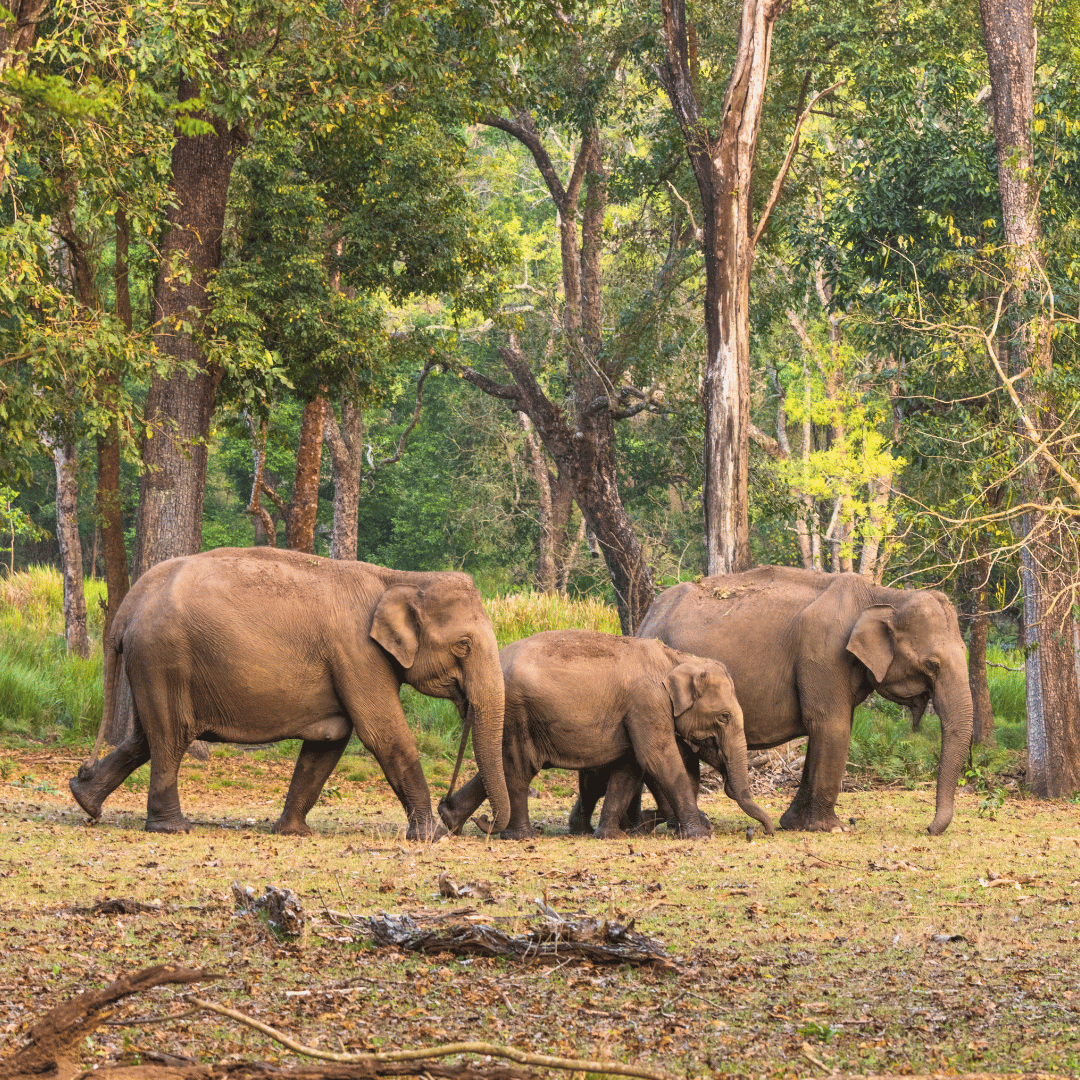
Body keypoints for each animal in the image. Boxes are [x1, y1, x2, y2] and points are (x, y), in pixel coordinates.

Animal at [69, 547, 510, 839]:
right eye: (464, 646)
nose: (455, 814)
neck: (400, 577)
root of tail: (128, 605)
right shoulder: (357, 652)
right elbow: (383, 735)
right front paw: (431, 836)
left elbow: (331, 739)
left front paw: (292, 831)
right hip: (163, 657)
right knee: (171, 736)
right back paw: (173, 828)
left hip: (151, 663)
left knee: (146, 735)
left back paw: (84, 798)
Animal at [436, 629, 774, 840]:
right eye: (724, 717)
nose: (764, 830)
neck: (677, 658)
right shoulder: (647, 703)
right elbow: (658, 759)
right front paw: (699, 834)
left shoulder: (635, 712)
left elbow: (631, 766)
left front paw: (611, 835)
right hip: (514, 712)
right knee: (519, 769)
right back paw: (520, 836)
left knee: (499, 765)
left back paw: (451, 820)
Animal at [613, 566, 973, 835]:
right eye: (933, 664)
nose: (928, 829)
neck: (883, 595)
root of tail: (646, 619)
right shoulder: (823, 652)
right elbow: (832, 726)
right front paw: (832, 828)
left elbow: (824, 730)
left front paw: (796, 824)